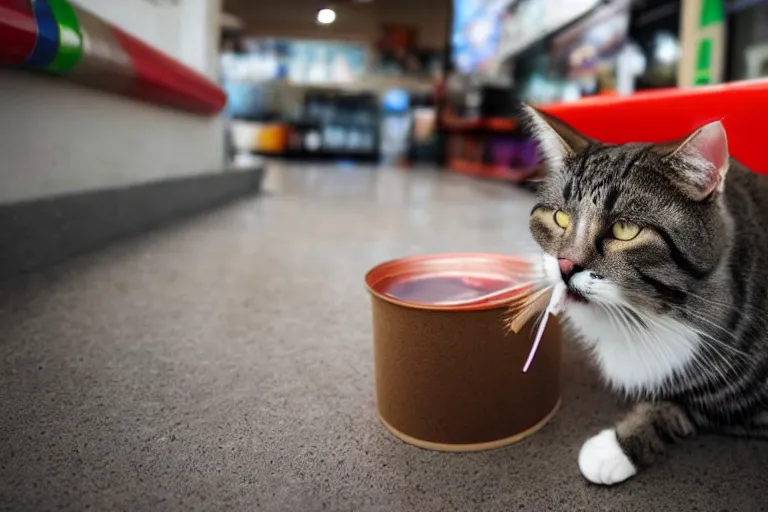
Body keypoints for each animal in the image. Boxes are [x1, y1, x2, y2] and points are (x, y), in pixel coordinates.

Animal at [524, 105, 768, 484]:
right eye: (559, 218)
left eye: (626, 230)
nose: (564, 265)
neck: (646, 316)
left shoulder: (742, 406)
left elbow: (687, 406)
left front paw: (615, 448)